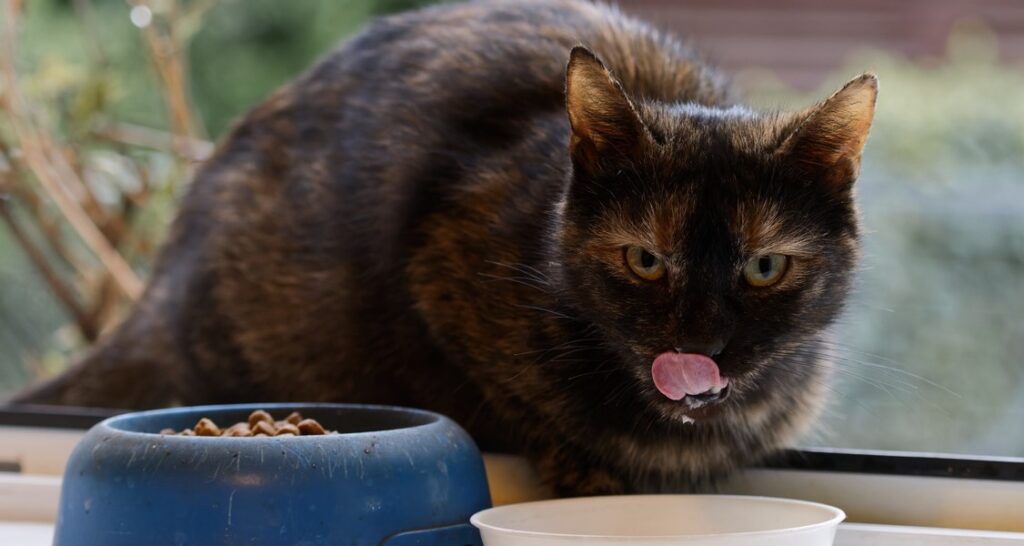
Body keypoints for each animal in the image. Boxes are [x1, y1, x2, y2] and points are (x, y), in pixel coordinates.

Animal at [12, 0, 876, 493]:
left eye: (764, 266)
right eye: (645, 260)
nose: (700, 345)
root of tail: (159, 286)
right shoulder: (439, 268)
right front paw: (580, 465)